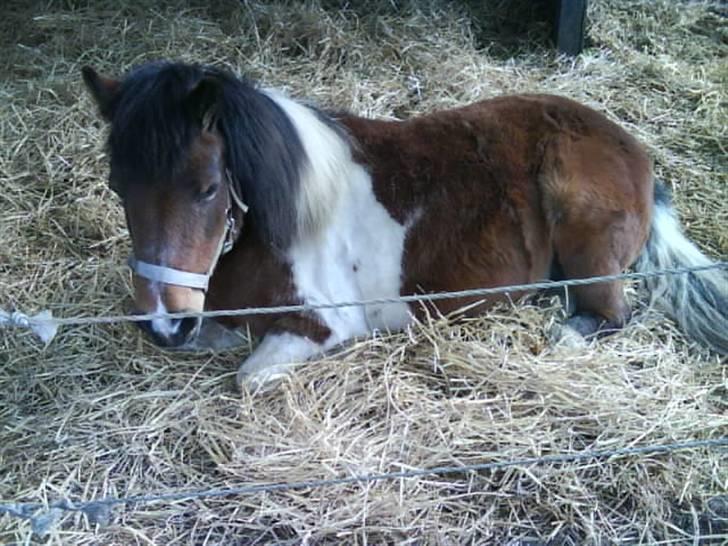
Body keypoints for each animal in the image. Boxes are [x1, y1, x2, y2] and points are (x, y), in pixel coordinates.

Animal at [82, 61, 724, 386]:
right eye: (118, 187)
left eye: (208, 188)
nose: (164, 325)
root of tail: (633, 150)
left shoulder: (323, 327)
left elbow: (245, 377)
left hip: (586, 231)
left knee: (612, 312)